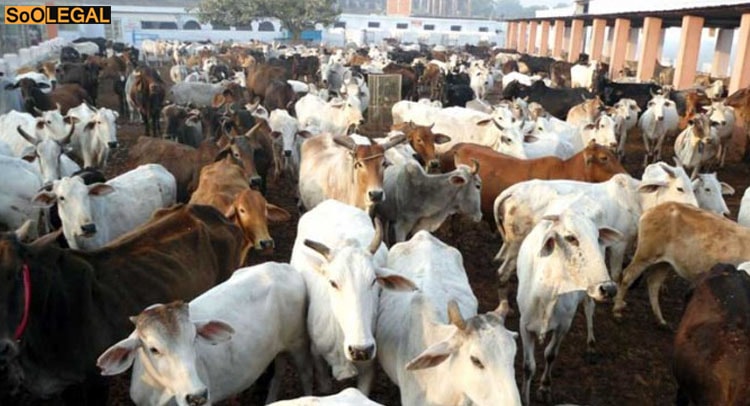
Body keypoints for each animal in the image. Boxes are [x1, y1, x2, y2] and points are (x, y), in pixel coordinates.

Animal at [97, 262, 312, 405]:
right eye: (153, 349)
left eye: (193, 340)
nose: (197, 396)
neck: (160, 392)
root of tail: (285, 267)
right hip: (279, 348)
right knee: (279, 371)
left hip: (299, 344)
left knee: (306, 375)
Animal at [517, 197, 622, 405]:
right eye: (571, 238)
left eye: (597, 238)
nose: (609, 289)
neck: (547, 294)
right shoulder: (524, 325)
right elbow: (528, 366)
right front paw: (525, 397)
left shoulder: (564, 325)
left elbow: (550, 354)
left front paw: (545, 388)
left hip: (589, 291)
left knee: (589, 308)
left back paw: (591, 345)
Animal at [614, 202, 750, 326]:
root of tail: (655, 208)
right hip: (645, 255)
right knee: (627, 277)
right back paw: (617, 311)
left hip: (663, 263)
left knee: (653, 283)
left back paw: (660, 320)